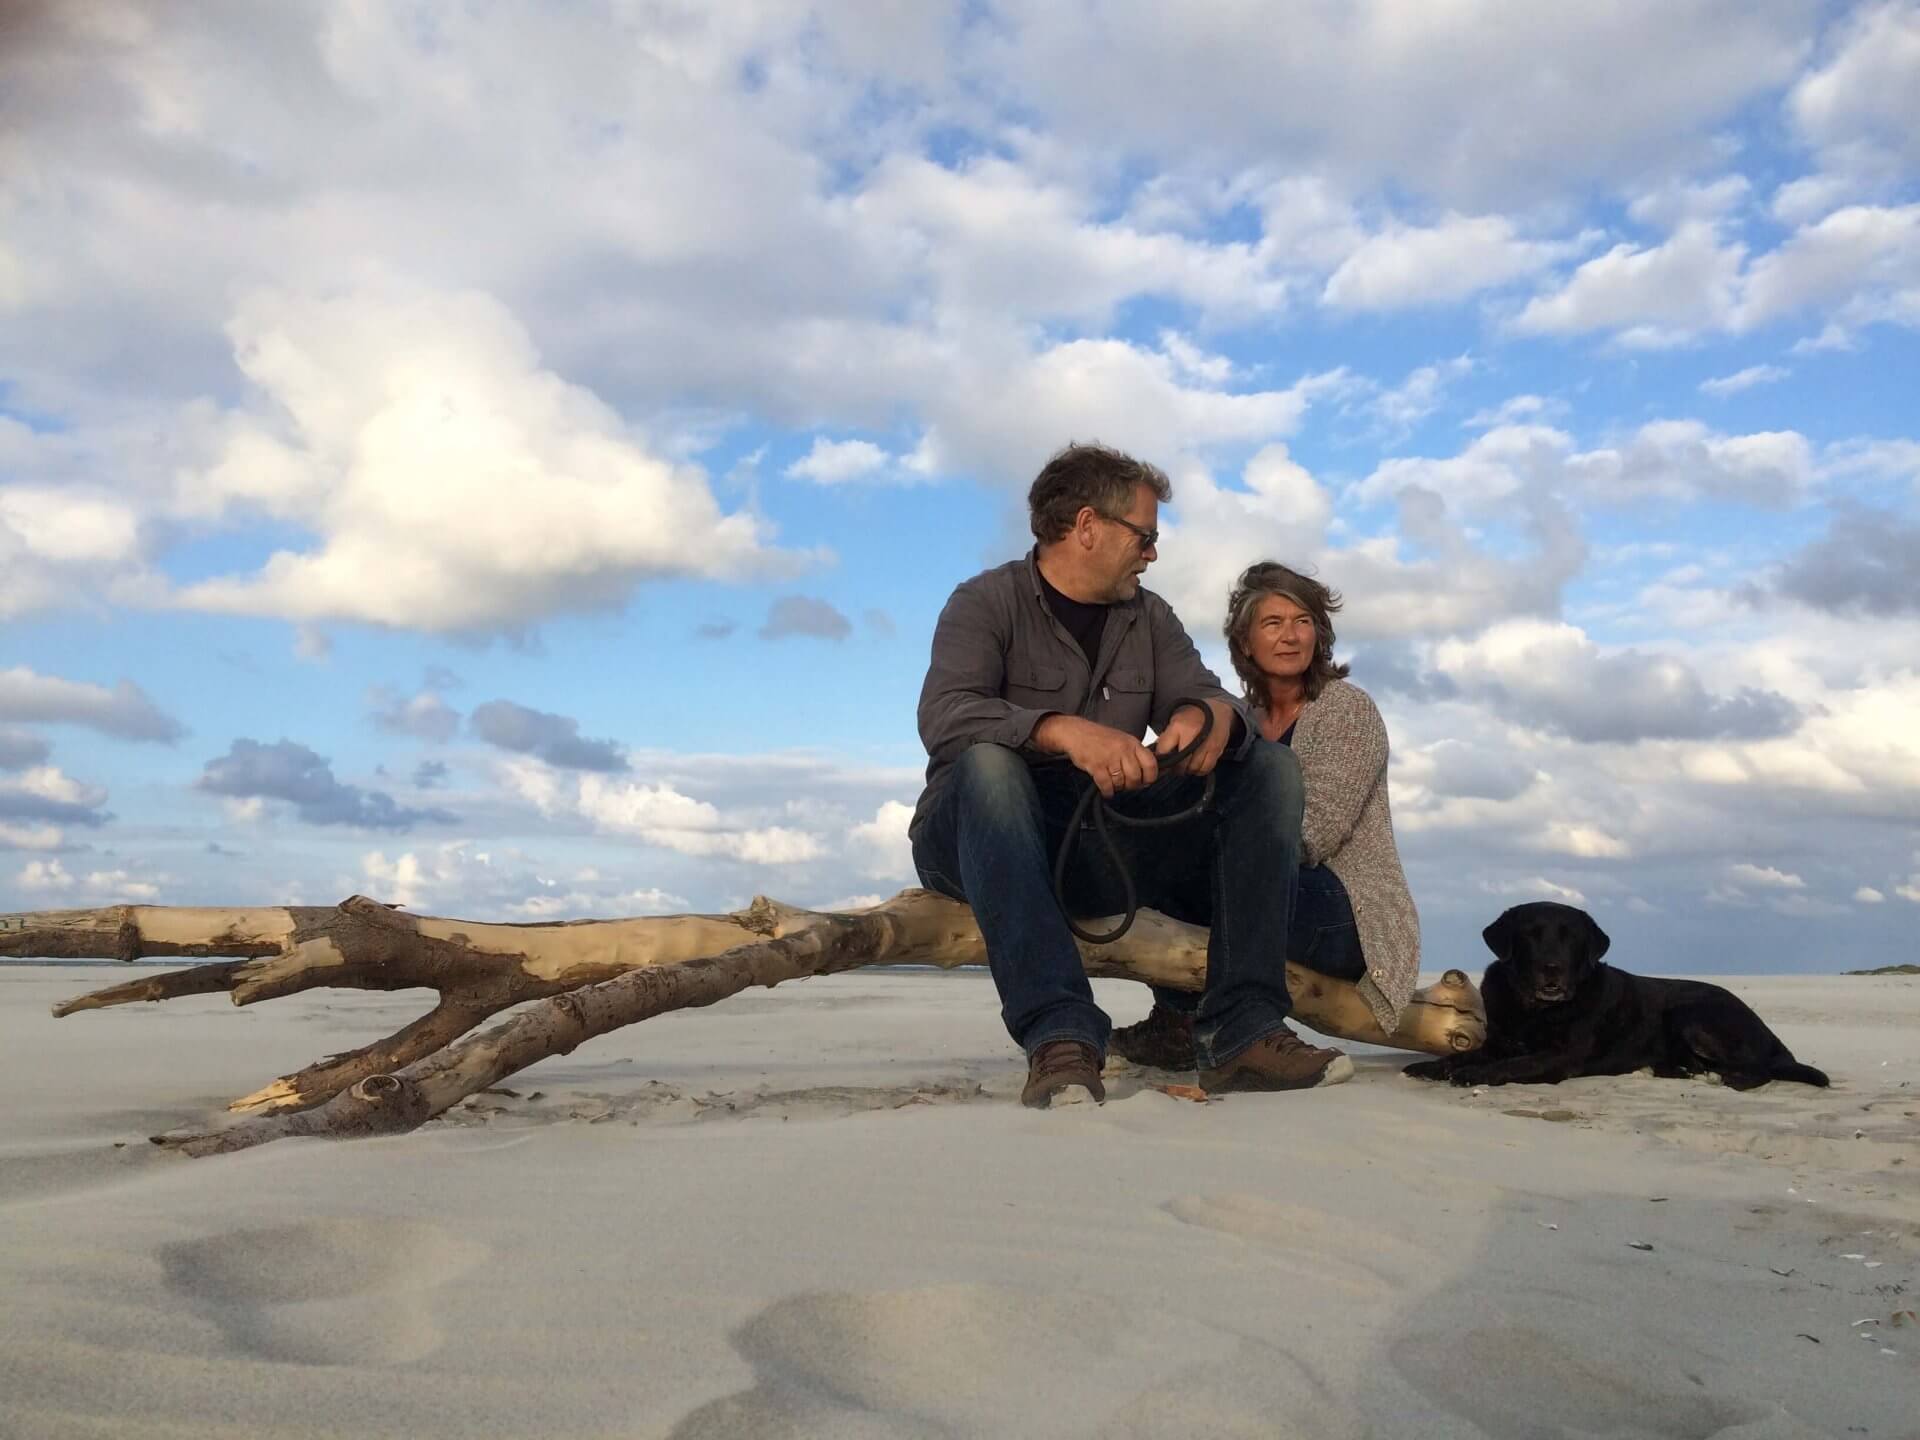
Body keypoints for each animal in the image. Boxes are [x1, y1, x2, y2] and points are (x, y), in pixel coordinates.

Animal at [1405, 902, 1820, 1090]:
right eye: (1530, 935)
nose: (1552, 969)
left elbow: (1514, 1064)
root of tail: (1772, 1037)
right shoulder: (1498, 1043)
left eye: (1572, 938)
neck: (1535, 1010)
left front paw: (1473, 1074)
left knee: (1759, 1071)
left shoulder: (1561, 1056)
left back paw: (1718, 1077)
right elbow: (1467, 1054)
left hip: (1691, 1014)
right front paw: (1433, 1067)